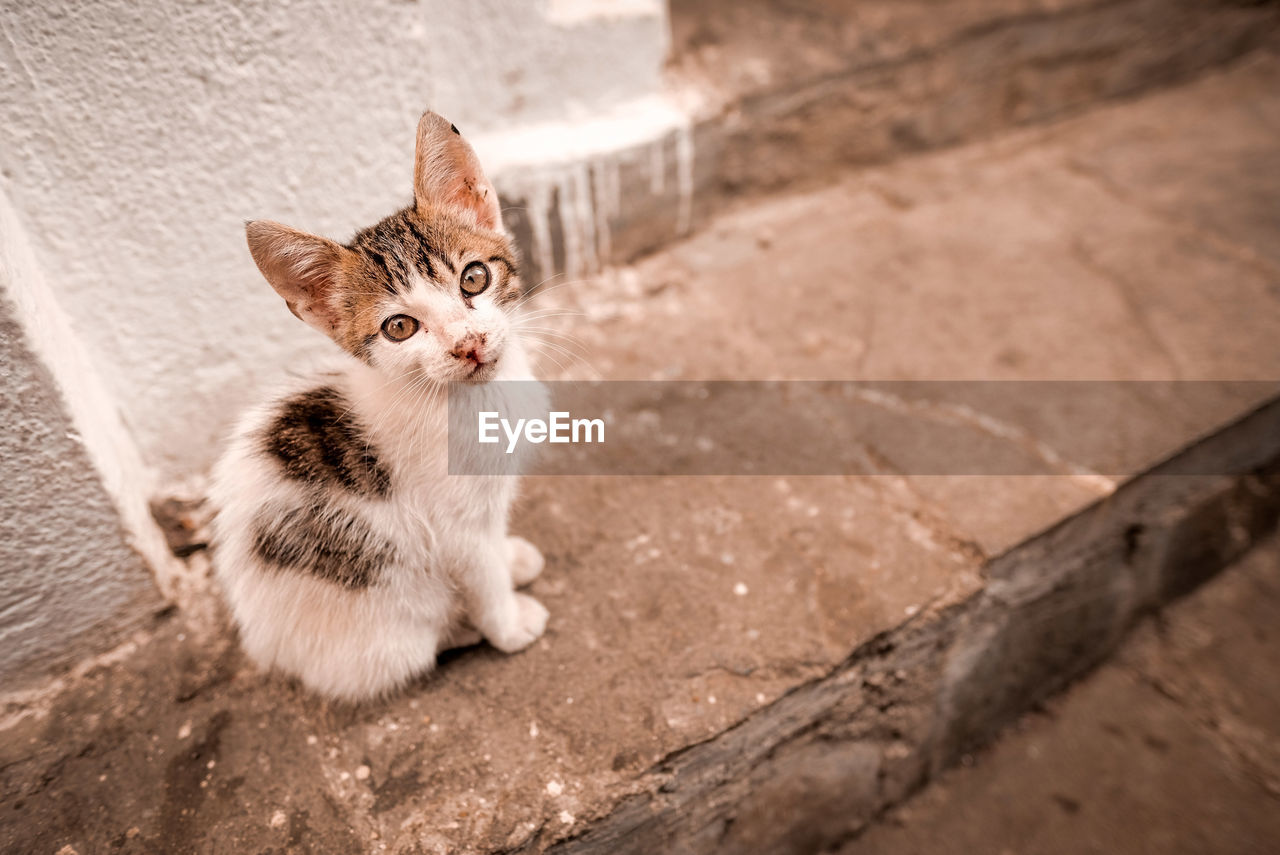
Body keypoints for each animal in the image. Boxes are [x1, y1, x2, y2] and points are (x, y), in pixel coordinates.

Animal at [209, 110, 550, 706]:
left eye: (474, 277)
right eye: (399, 327)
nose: (468, 344)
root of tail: (268, 649)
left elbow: (492, 548)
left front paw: (511, 558)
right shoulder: (451, 525)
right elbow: (480, 574)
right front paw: (507, 624)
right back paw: (458, 625)